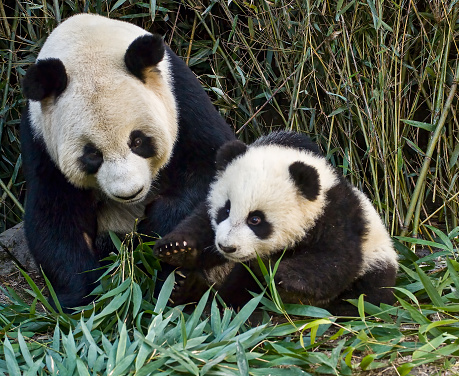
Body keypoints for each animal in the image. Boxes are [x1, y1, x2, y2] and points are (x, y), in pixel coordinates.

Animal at [19, 13, 235, 310]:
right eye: (92, 155)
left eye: (137, 141)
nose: (130, 193)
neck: (87, 42)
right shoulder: (41, 141)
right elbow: (54, 217)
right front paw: (80, 297)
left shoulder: (181, 99)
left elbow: (211, 170)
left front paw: (157, 231)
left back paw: (184, 284)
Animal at [155, 131, 398, 316]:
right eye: (226, 210)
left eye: (255, 219)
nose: (227, 247)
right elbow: (201, 225)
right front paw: (176, 248)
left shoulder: (336, 216)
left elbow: (333, 261)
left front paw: (277, 274)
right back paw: (186, 289)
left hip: (376, 259)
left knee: (369, 291)